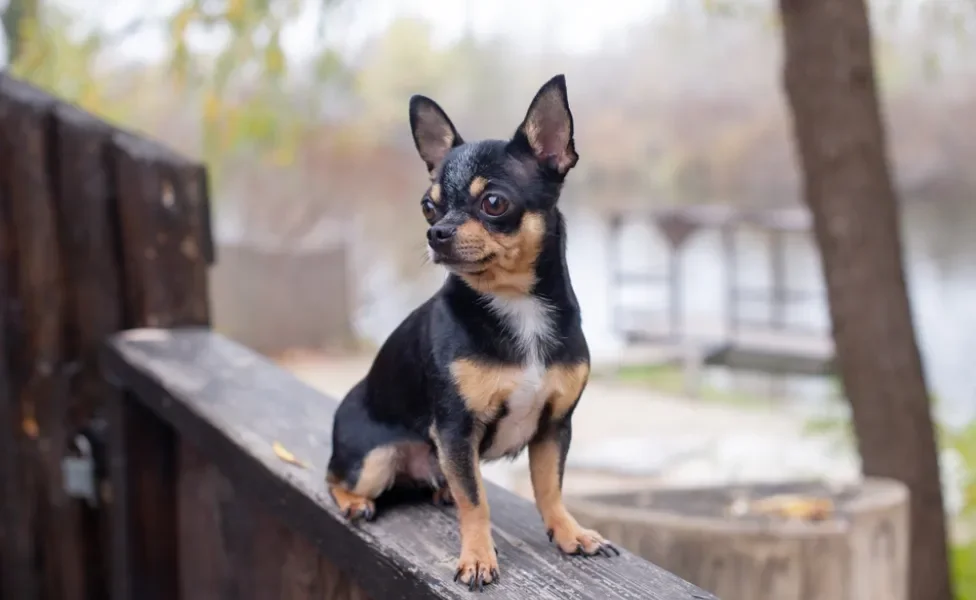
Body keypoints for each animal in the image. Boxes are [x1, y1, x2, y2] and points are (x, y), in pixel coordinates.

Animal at [328, 74, 616, 592]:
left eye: (493, 203)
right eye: (428, 206)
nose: (436, 232)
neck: (516, 306)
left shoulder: (554, 427)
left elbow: (550, 488)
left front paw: (569, 533)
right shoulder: (456, 431)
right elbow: (475, 500)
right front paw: (478, 557)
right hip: (373, 461)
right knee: (333, 477)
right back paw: (355, 503)